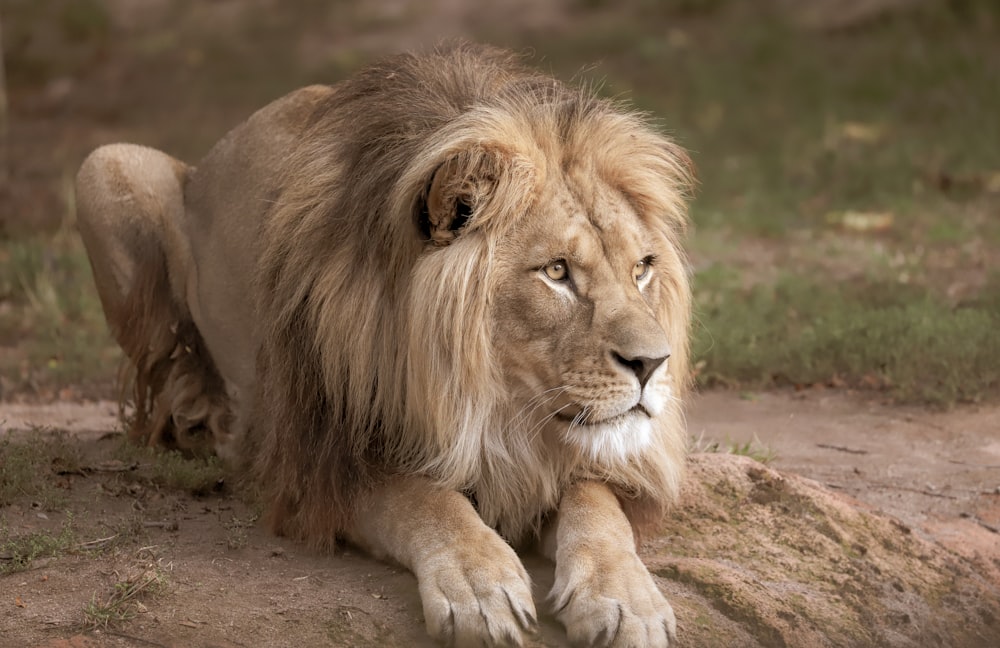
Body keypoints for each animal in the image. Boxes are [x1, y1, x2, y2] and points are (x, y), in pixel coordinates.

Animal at [74, 43, 692, 644]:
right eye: (557, 271)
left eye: (642, 268)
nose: (652, 364)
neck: (488, 408)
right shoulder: (318, 462)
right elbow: (423, 498)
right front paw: (478, 584)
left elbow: (598, 503)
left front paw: (625, 599)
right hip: (104, 164)